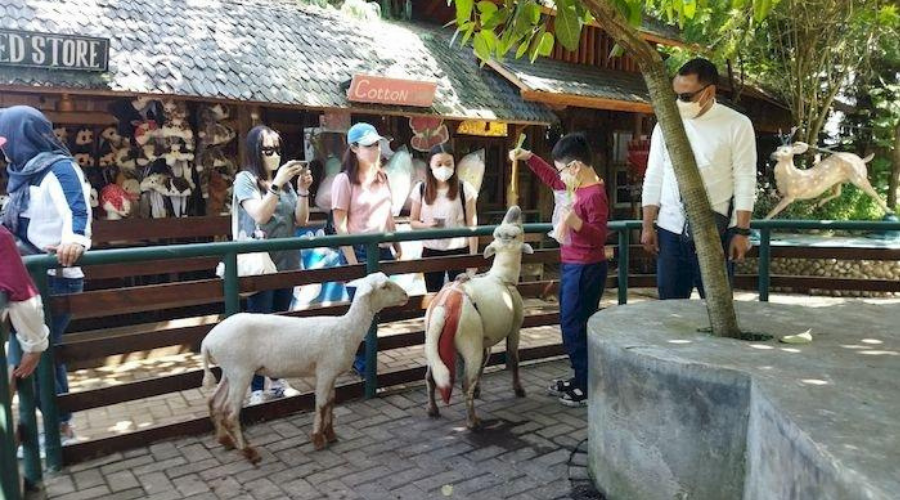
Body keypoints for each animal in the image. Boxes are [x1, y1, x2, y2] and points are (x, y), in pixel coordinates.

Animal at [202, 272, 410, 462]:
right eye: (384, 287)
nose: (406, 295)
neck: (346, 329)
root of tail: (208, 341)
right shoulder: (325, 371)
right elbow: (321, 404)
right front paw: (318, 439)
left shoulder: (331, 373)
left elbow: (330, 402)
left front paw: (330, 435)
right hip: (241, 371)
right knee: (230, 413)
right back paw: (249, 452)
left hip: (229, 371)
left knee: (214, 402)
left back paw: (226, 441)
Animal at [426, 206, 532, 430]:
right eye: (517, 233)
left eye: (503, 234)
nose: (515, 209)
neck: (502, 276)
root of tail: (443, 307)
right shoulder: (515, 328)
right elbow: (514, 358)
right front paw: (518, 389)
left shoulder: (485, 339)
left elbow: (485, 363)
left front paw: (479, 390)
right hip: (470, 341)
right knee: (466, 382)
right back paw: (472, 421)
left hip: (433, 344)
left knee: (431, 377)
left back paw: (433, 409)